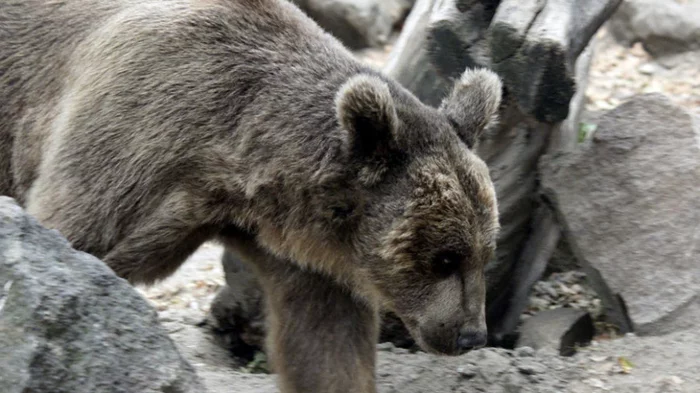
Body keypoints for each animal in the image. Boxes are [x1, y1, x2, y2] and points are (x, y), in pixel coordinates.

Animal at [0, 1, 504, 390]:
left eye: (485, 253)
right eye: (444, 257)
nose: (470, 335)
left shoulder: (306, 256)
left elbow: (326, 345)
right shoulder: (131, 142)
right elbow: (74, 234)